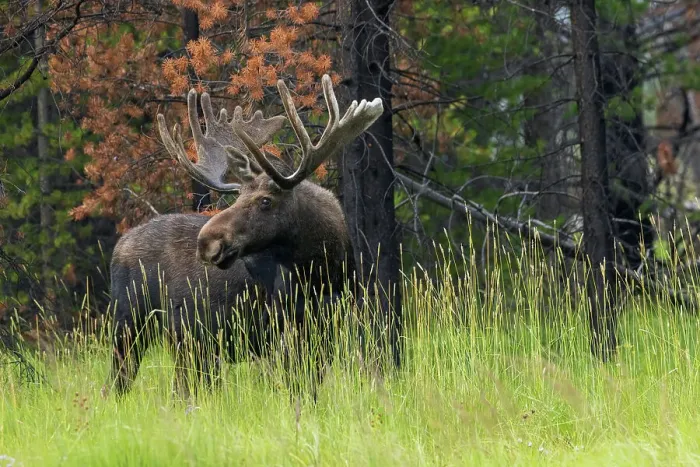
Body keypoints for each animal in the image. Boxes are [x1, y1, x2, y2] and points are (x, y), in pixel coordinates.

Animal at [109, 74, 383, 399]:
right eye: (237, 196)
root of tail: (119, 247)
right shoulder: (280, 332)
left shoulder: (324, 333)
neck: (325, 270)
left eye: (265, 200)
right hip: (133, 324)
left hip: (188, 342)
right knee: (122, 384)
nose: (207, 242)